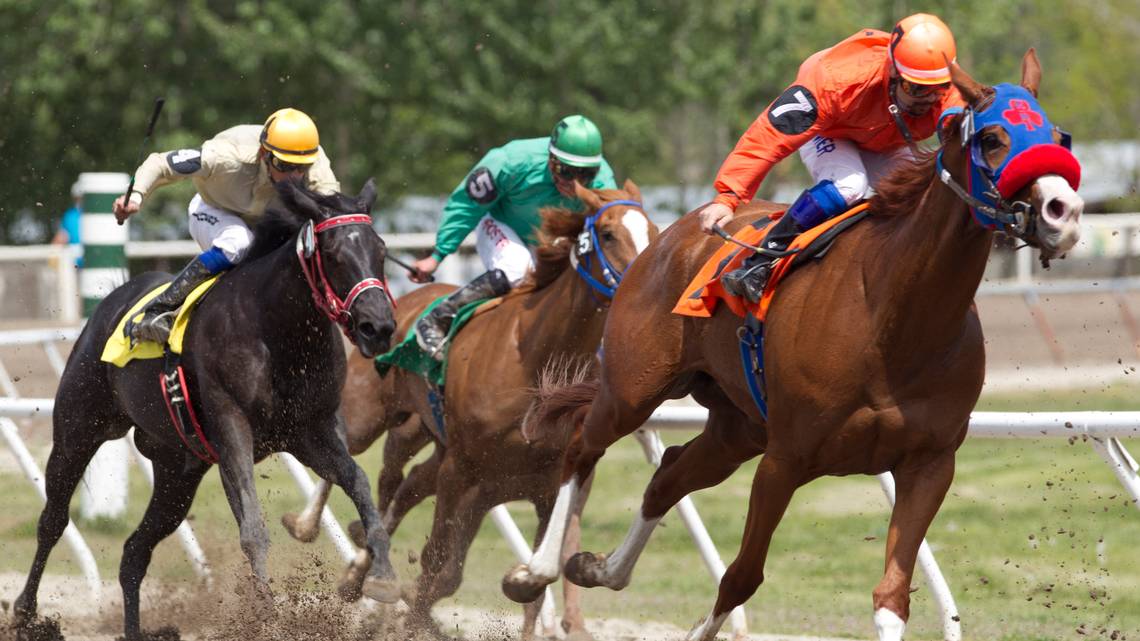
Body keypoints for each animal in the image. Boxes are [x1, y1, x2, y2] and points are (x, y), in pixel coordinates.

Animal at [13, 180, 403, 641]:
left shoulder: (310, 432)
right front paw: (265, 616)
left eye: (381, 251)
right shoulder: (232, 424)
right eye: (336, 254)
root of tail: (114, 299)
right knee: (53, 520)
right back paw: (24, 613)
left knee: (134, 550)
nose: (378, 327)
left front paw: (384, 576)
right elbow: (252, 525)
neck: (278, 328)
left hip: (177, 473)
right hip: (79, 428)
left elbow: (357, 481)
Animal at [281, 181, 658, 638]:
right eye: (607, 233)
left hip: (436, 445)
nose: (642, 284)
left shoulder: (547, 486)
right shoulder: (463, 472)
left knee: (406, 484)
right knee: (351, 459)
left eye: (654, 231)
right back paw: (308, 527)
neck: (535, 358)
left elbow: (529, 586)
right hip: (370, 416)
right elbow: (437, 566)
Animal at [502, 51, 1084, 641]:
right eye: (991, 138)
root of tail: (669, 237)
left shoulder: (930, 461)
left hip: (737, 427)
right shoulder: (785, 457)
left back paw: (598, 567)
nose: (1064, 210)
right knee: (583, 443)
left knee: (668, 474)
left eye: (1059, 135)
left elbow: (892, 596)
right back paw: (536, 570)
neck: (894, 319)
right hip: (634, 388)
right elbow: (741, 576)